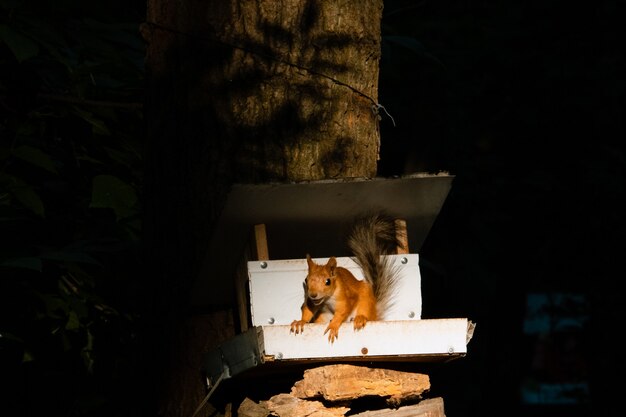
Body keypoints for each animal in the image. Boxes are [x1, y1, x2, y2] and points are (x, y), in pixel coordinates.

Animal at [290, 211, 402, 342]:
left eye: (328, 281)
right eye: (306, 280)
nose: (313, 295)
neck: (326, 299)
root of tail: (375, 313)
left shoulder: (344, 296)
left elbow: (343, 310)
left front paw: (334, 325)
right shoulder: (312, 302)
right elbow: (308, 309)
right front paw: (300, 322)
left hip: (366, 301)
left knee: (365, 313)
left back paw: (360, 318)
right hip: (322, 316)